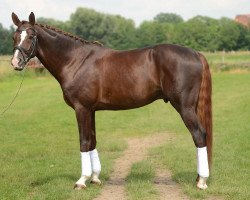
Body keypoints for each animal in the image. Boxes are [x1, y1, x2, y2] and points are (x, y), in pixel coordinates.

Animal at [10, 11, 212, 190]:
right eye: (14, 36)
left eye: (31, 36)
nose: (15, 62)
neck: (75, 60)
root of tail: (195, 53)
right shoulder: (90, 110)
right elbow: (92, 141)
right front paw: (95, 178)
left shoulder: (81, 109)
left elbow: (84, 141)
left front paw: (82, 181)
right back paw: (198, 178)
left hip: (185, 107)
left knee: (199, 135)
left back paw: (201, 181)